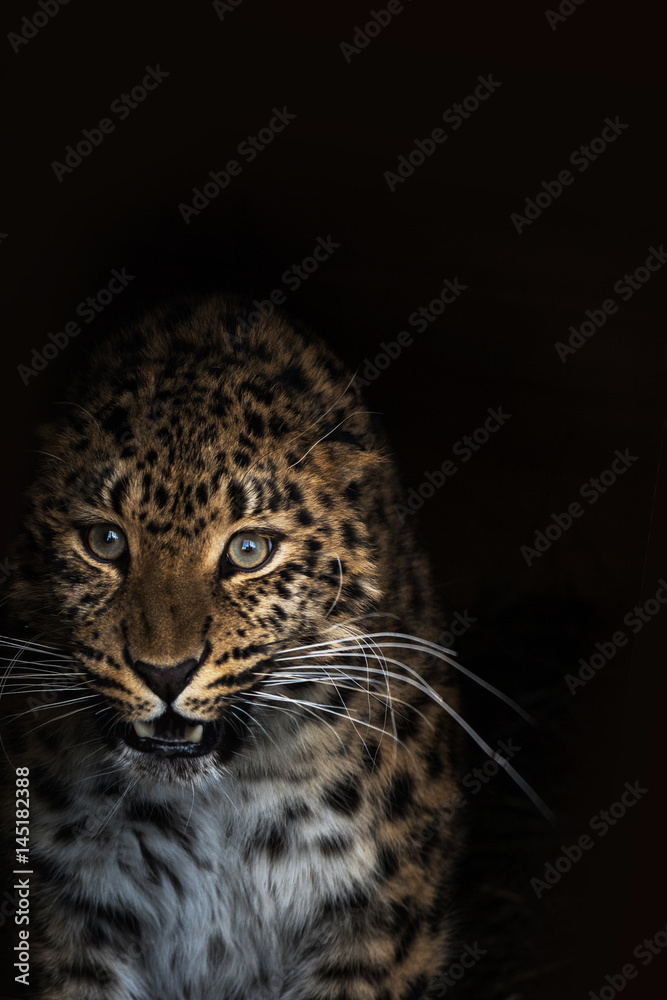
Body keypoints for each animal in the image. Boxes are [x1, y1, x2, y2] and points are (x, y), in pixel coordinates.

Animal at [1, 294, 474, 1000]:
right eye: (105, 542)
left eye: (249, 550)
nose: (165, 673)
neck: (214, 809)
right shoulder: (67, 923)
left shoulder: (377, 928)